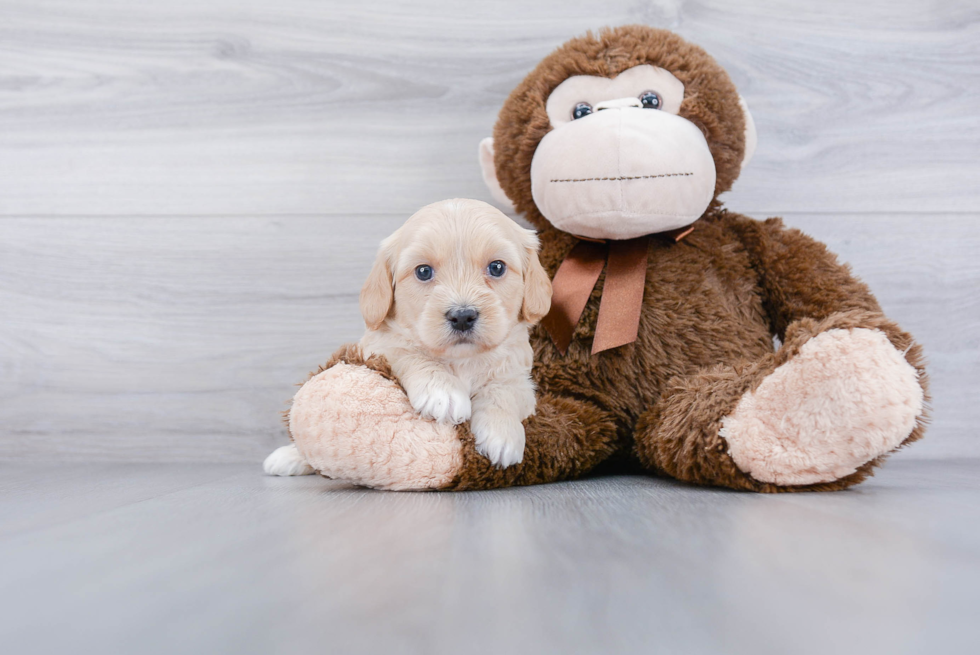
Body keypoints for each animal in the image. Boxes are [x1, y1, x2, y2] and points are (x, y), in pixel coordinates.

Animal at [360, 199, 552, 466]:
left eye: (497, 267)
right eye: (423, 272)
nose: (462, 316)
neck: (463, 360)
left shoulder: (521, 379)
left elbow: (504, 389)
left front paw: (502, 433)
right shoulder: (376, 347)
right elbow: (409, 353)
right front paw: (442, 392)